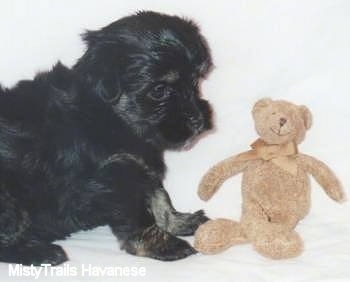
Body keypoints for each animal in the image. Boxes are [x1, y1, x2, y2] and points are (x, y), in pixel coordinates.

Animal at [0, 12, 212, 266]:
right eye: (159, 91)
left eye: (195, 82)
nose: (198, 121)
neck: (109, 113)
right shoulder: (117, 175)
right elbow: (141, 214)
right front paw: (163, 244)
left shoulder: (140, 165)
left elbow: (160, 197)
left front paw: (177, 222)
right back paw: (40, 252)